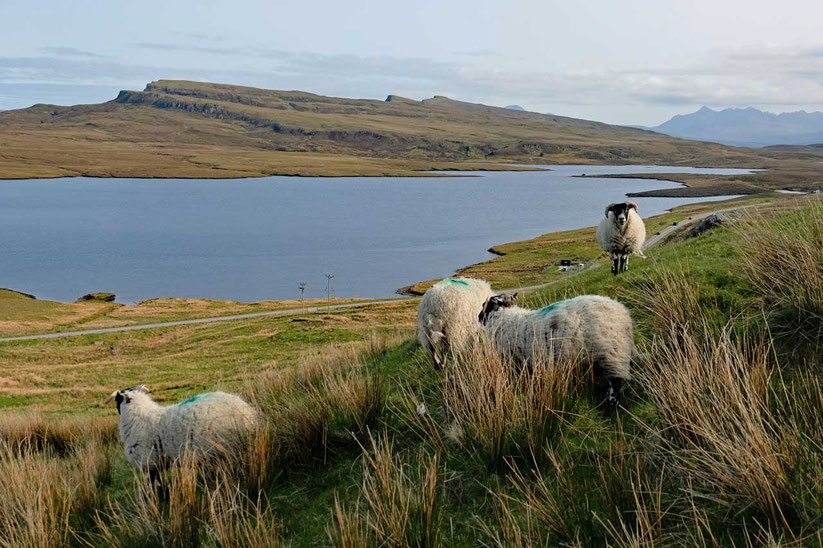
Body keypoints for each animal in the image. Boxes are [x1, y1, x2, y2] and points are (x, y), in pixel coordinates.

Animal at [480, 294, 636, 408]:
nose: (478, 317)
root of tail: (623, 314)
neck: (502, 317)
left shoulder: (513, 362)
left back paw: (612, 406)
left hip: (611, 353)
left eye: (486, 305)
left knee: (615, 383)